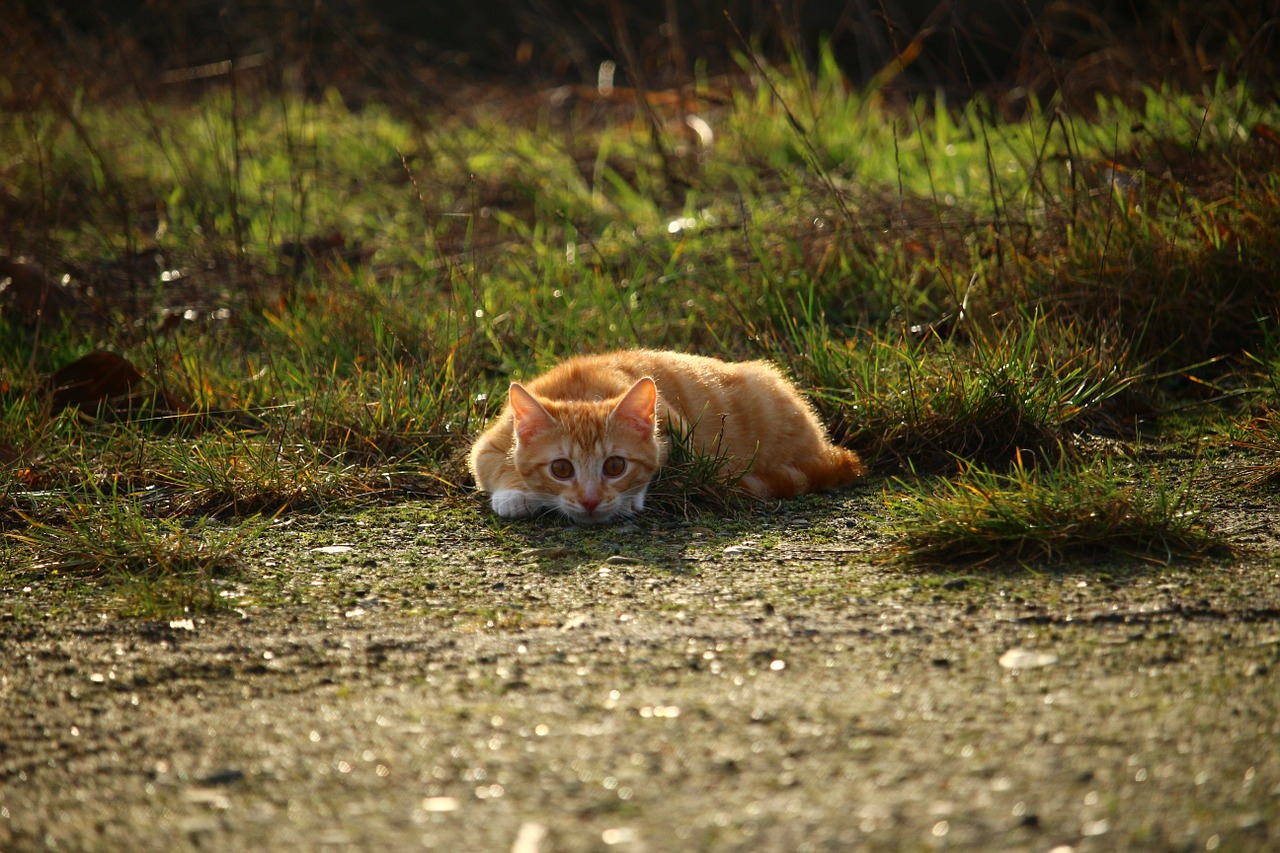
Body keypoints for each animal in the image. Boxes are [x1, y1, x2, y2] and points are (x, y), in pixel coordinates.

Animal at [465, 348, 865, 522]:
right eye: (561, 469)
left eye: (615, 466)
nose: (591, 501)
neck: (581, 392)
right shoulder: (487, 445)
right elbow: (494, 465)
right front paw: (516, 495)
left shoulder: (679, 433)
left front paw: (628, 499)